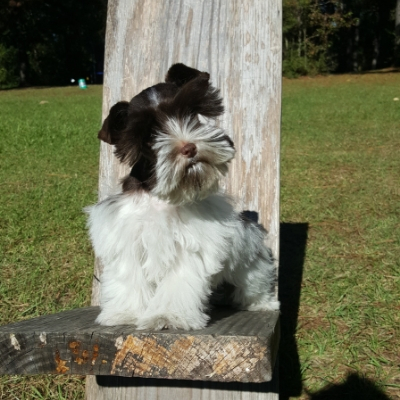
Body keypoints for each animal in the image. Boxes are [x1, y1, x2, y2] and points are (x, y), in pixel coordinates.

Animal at [86, 63, 280, 332]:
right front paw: (127, 313)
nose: (189, 148)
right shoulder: (128, 241)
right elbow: (130, 279)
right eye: (150, 134)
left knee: (254, 283)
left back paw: (262, 303)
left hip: (250, 263)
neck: (161, 199)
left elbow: (177, 283)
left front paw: (168, 316)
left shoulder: (188, 244)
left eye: (189, 114)